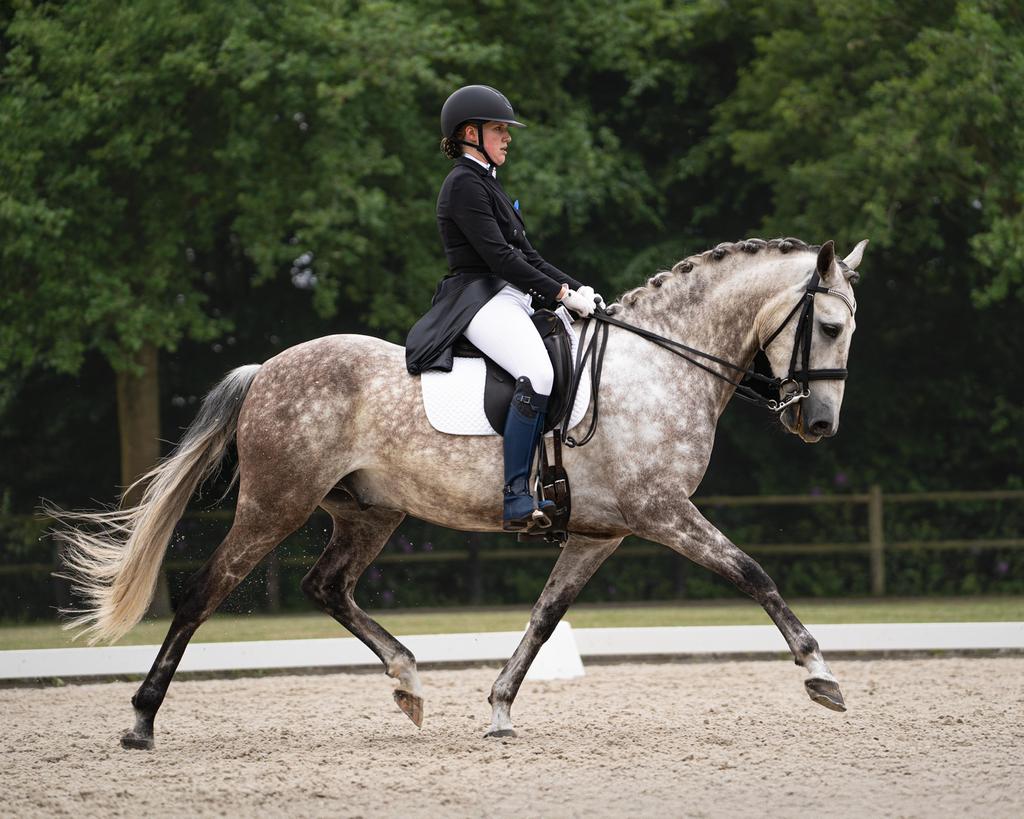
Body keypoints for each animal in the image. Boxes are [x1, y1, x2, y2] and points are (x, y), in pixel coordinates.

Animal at [50, 236, 866, 749]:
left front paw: (500, 709)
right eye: (828, 325)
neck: (659, 365)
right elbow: (754, 574)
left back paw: (409, 680)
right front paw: (821, 675)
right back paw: (141, 721)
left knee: (326, 586)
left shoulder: (599, 534)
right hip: (274, 505)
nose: (821, 424)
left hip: (369, 512)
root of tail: (267, 371)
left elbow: (544, 618)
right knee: (202, 594)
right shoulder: (662, 511)